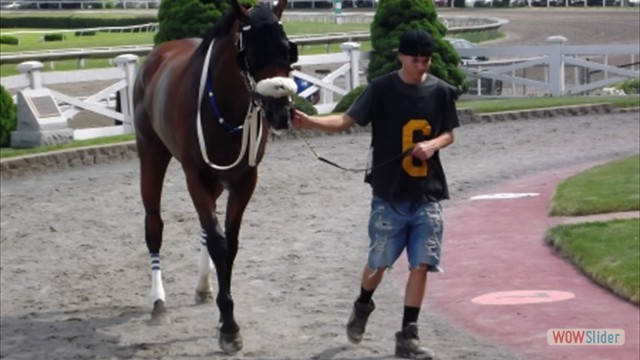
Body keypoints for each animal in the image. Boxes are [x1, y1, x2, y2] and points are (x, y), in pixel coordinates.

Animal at [134, 0, 298, 354]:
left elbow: (228, 243)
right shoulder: (195, 175)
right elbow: (220, 244)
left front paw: (224, 313)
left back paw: (203, 286)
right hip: (151, 152)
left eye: (288, 50)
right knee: (154, 225)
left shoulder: (244, 179)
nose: (281, 112)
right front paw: (229, 325)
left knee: (206, 231)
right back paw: (158, 302)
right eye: (250, 54)